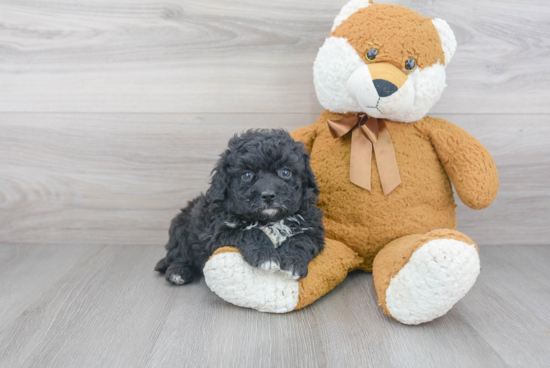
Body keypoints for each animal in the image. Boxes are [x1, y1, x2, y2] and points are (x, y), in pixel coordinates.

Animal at [155, 129, 326, 284]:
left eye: (285, 172)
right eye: (247, 175)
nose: (268, 195)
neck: (269, 220)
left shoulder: (313, 230)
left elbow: (301, 239)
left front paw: (292, 263)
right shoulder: (219, 234)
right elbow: (250, 232)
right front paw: (266, 257)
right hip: (180, 228)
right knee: (178, 255)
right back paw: (178, 272)